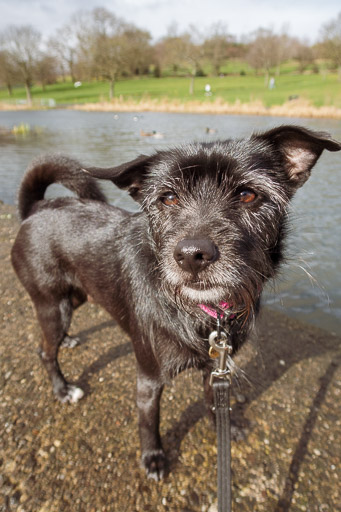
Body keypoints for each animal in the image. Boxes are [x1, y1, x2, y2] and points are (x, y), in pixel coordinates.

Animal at [11, 124, 338, 480]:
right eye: (168, 197)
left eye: (248, 194)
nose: (192, 255)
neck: (203, 314)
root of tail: (36, 210)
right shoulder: (148, 381)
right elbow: (148, 422)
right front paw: (153, 457)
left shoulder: (216, 368)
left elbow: (214, 403)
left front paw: (223, 427)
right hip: (52, 306)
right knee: (45, 351)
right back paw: (62, 388)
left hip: (76, 296)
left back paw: (68, 341)